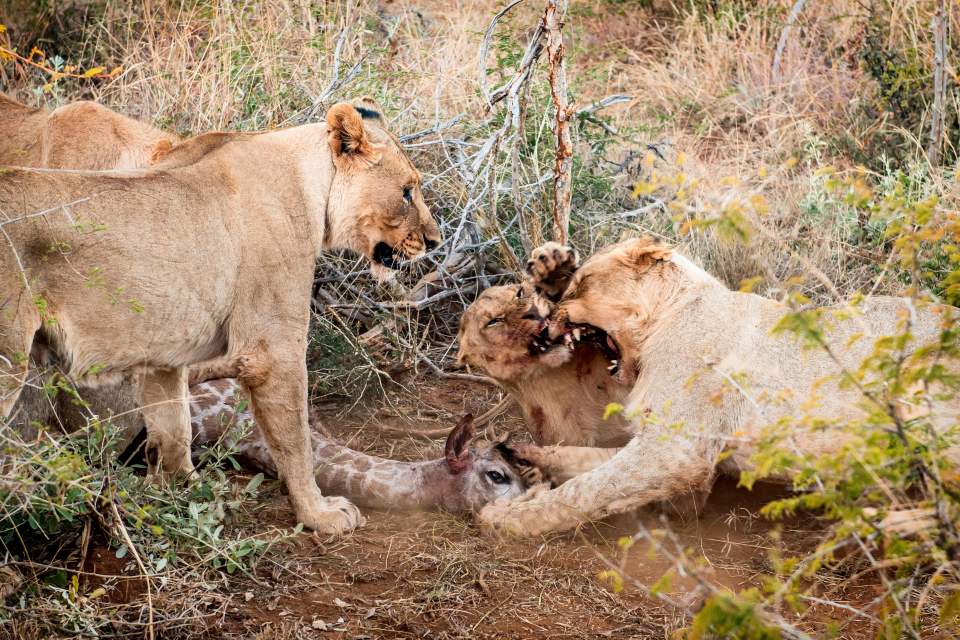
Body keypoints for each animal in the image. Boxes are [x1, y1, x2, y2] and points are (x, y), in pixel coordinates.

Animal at [0, 97, 440, 532]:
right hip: (8, 358)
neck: (310, 184)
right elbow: (296, 441)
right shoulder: (272, 350)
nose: (434, 241)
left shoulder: (161, 352)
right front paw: (319, 514)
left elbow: (173, 426)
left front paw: (185, 493)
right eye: (407, 192)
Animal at [480, 236, 960, 536]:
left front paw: (505, 519)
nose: (546, 321)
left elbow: (591, 489)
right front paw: (522, 456)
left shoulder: (681, 455)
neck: (667, 318)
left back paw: (879, 524)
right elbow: (586, 460)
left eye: (582, 284)